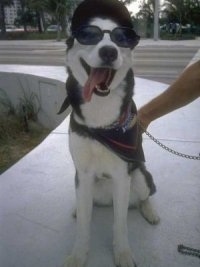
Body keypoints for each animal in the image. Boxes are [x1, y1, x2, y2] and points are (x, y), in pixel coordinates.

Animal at [58, 0, 160, 267]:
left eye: (121, 39)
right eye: (88, 35)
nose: (108, 52)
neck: (101, 122)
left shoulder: (121, 175)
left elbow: (120, 224)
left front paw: (122, 253)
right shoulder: (83, 174)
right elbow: (84, 225)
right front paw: (79, 254)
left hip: (139, 177)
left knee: (144, 195)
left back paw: (149, 211)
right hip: (86, 184)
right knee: (86, 206)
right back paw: (78, 209)